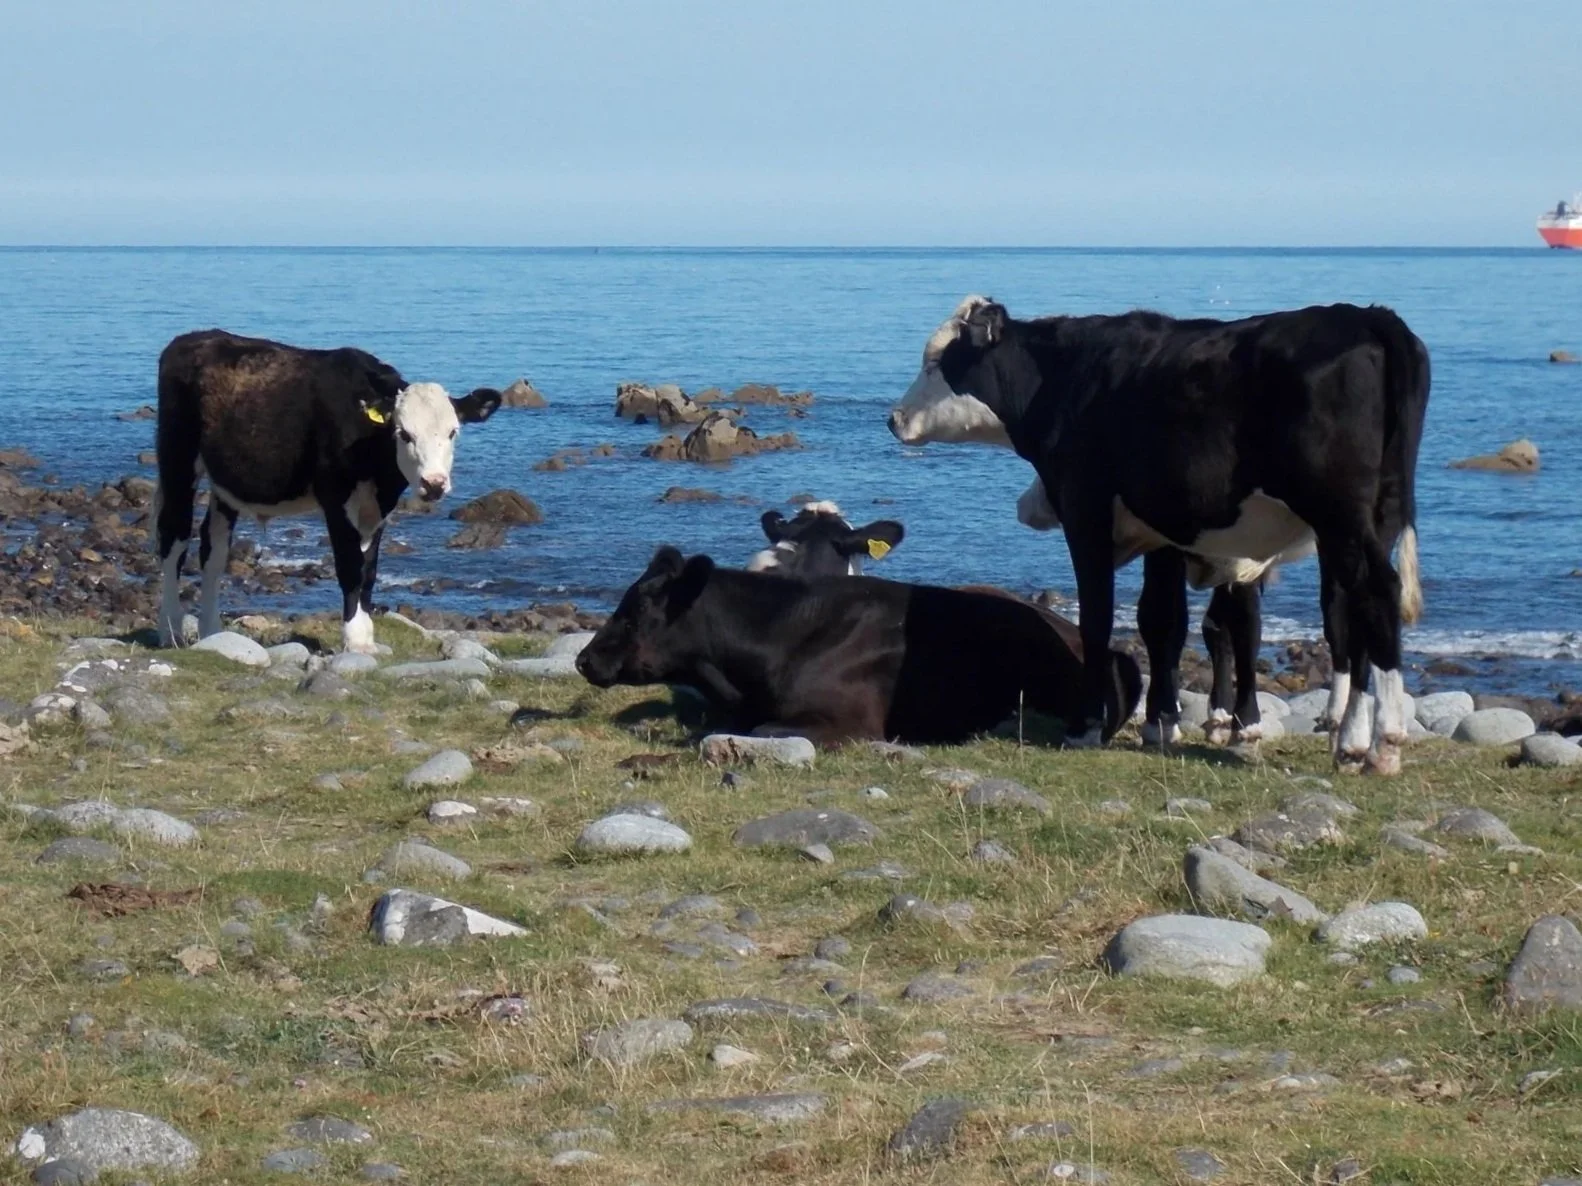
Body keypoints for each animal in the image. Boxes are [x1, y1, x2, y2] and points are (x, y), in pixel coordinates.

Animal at [153, 329, 502, 653]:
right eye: (403, 433)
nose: (434, 483)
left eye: (453, 431)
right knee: (174, 537)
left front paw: (366, 636)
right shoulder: (335, 496)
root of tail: (194, 338)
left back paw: (211, 632)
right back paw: (170, 630)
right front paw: (355, 638)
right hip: (177, 457)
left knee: (213, 549)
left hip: (225, 482)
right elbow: (349, 563)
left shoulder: (379, 506)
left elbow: (368, 569)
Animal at [889, 296, 1428, 775]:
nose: (893, 419)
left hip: (1339, 515)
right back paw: (1352, 742)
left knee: (1376, 593)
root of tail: (1366, 317)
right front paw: (1163, 724)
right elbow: (1163, 622)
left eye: (937, 361)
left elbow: (1099, 619)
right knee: (1356, 612)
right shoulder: (1163, 536)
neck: (1065, 378)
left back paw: (1383, 744)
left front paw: (1085, 727)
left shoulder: (1086, 511)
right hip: (1374, 517)